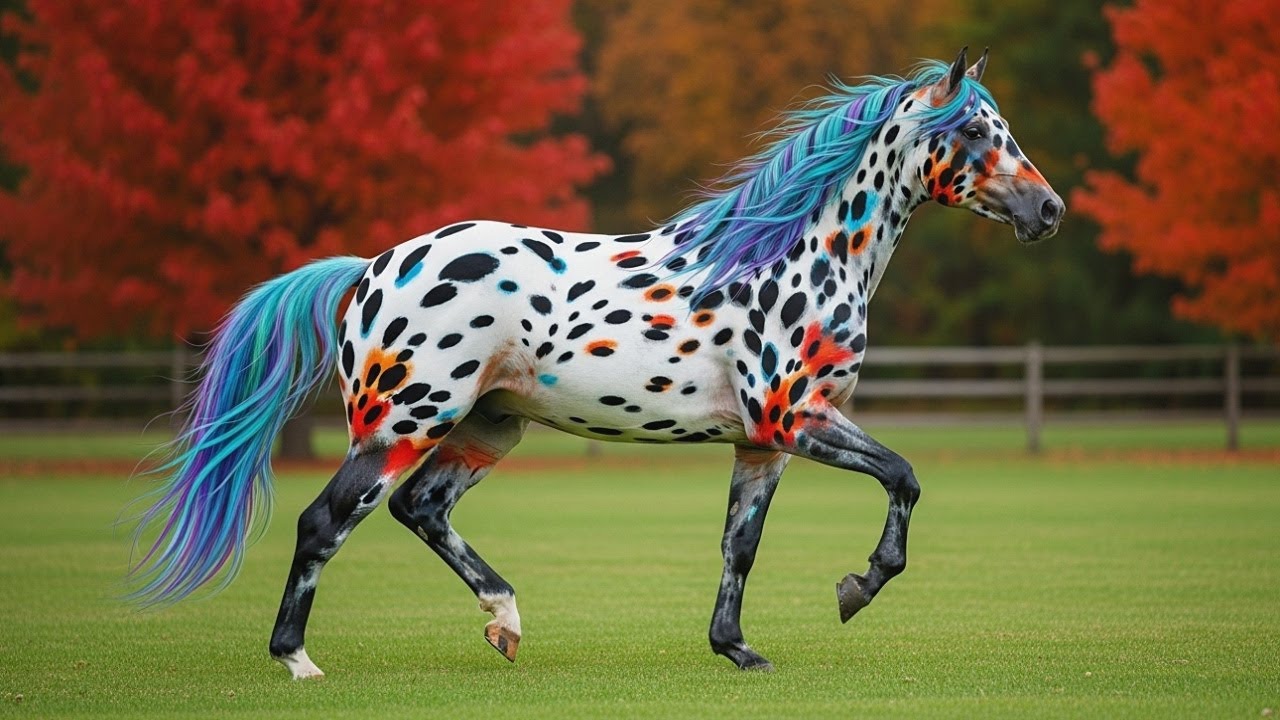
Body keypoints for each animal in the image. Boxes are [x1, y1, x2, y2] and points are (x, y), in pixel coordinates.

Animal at [127, 48, 1063, 678]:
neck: (795, 255)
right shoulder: (799, 419)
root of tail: (372, 268)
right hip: (403, 424)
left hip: (487, 430)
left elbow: (740, 546)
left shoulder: (762, 443)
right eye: (975, 130)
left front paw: (737, 649)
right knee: (327, 522)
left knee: (420, 511)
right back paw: (298, 660)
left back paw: (504, 621)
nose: (1048, 210)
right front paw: (856, 587)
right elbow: (904, 477)